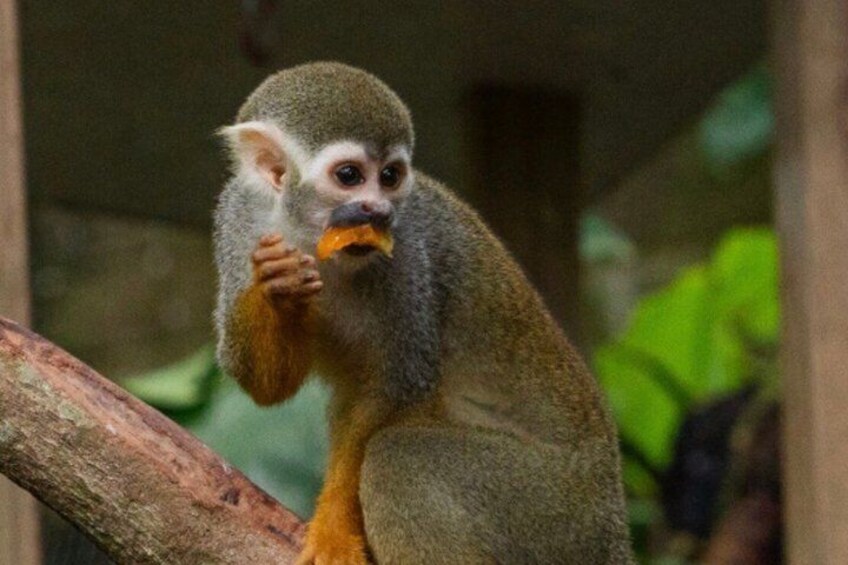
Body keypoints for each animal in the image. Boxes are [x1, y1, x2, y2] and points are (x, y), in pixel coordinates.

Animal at [214, 62, 632, 564]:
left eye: (391, 176)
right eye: (350, 175)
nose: (377, 210)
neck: (306, 234)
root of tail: (611, 520)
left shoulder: (408, 250)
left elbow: (398, 388)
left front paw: (334, 530)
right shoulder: (238, 221)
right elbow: (266, 385)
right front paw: (277, 286)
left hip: (552, 510)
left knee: (401, 460)